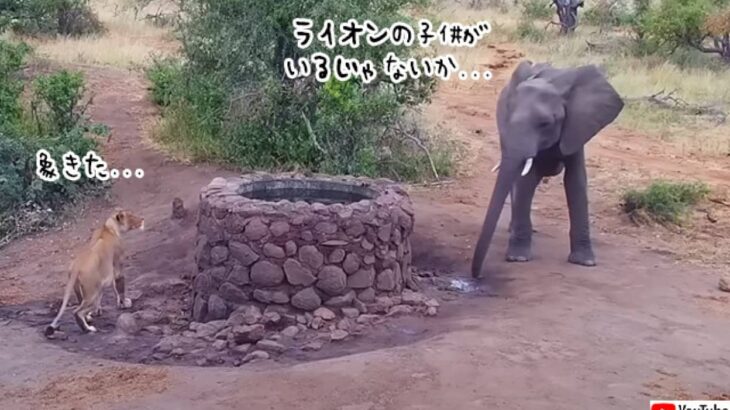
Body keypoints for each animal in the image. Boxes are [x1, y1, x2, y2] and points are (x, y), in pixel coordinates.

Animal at [472, 60, 620, 278]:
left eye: (545, 123)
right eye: (508, 117)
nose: (478, 275)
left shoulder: (577, 127)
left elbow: (575, 182)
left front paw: (585, 262)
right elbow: (525, 181)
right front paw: (518, 258)